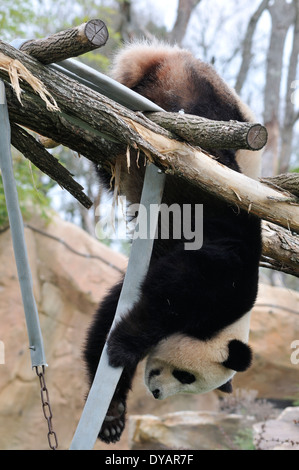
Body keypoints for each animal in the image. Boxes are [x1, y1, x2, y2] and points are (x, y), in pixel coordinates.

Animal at [84, 40, 262, 444]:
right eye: (186, 376)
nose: (156, 394)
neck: (222, 323)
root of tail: (169, 53)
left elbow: (114, 307)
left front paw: (112, 413)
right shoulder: (221, 273)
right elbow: (165, 295)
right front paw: (122, 351)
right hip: (188, 94)